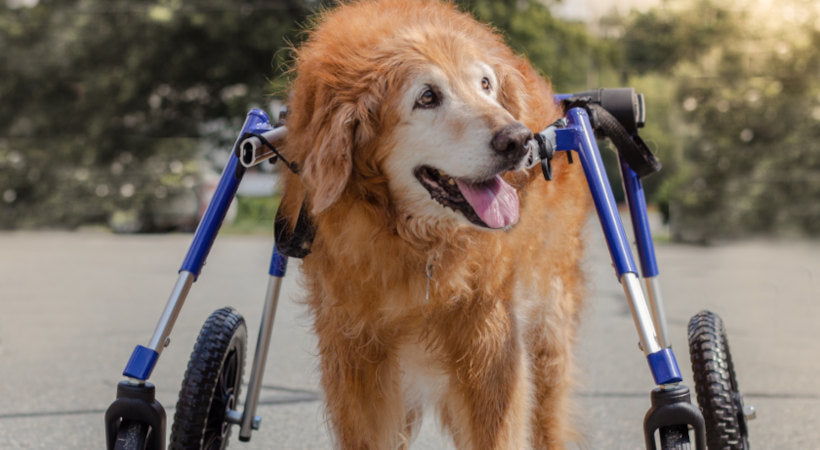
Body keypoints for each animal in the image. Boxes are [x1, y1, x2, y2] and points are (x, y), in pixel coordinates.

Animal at [278, 1, 592, 448]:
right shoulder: (356, 361)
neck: (417, 244)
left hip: (548, 336)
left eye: (485, 84)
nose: (519, 138)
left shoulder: (489, 351)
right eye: (427, 97)